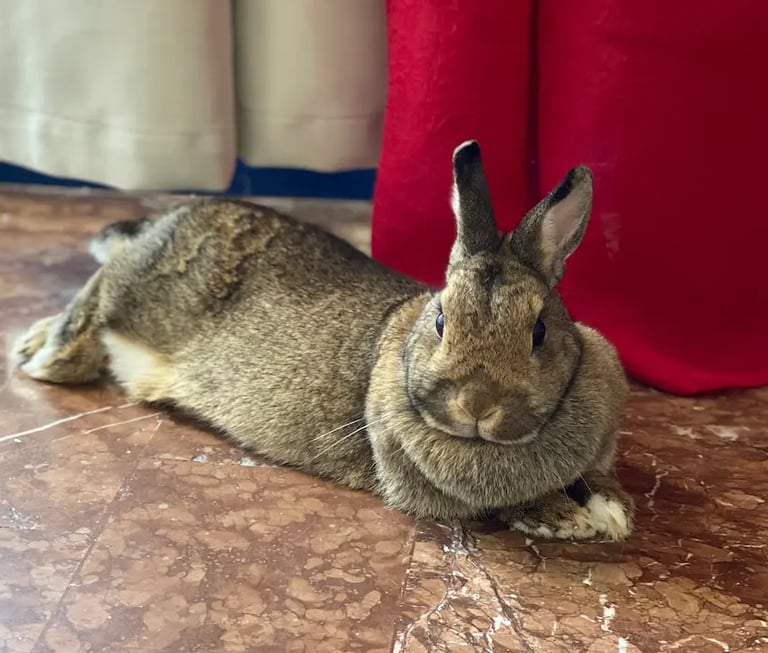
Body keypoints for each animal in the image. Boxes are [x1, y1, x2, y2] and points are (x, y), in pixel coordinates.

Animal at [13, 141, 633, 541]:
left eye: (539, 332)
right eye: (440, 321)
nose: (477, 406)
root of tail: (174, 214)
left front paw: (613, 508)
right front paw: (571, 518)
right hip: (141, 287)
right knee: (100, 287)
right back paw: (42, 352)